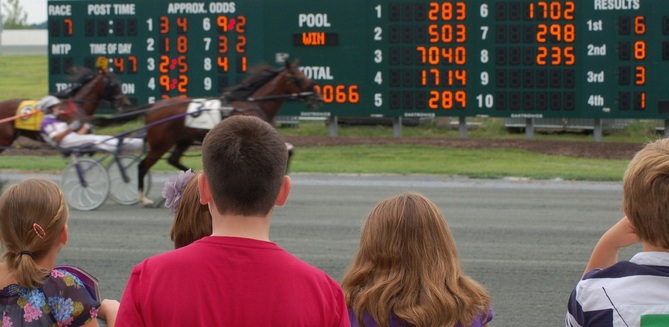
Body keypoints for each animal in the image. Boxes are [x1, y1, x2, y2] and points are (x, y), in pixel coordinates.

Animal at [136, 60, 320, 205]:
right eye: (299, 77)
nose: (317, 97)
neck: (251, 104)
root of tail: (153, 107)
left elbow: (289, 149)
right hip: (160, 144)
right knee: (143, 165)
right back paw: (143, 198)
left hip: (183, 140)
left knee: (173, 160)